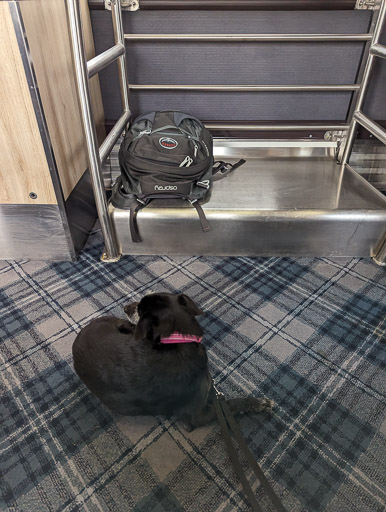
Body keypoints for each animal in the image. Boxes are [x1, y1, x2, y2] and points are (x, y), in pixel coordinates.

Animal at [71, 294, 272, 430]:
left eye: (140, 309)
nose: (126, 307)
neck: (179, 341)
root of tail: (79, 336)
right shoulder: (196, 416)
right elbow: (229, 405)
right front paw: (258, 403)